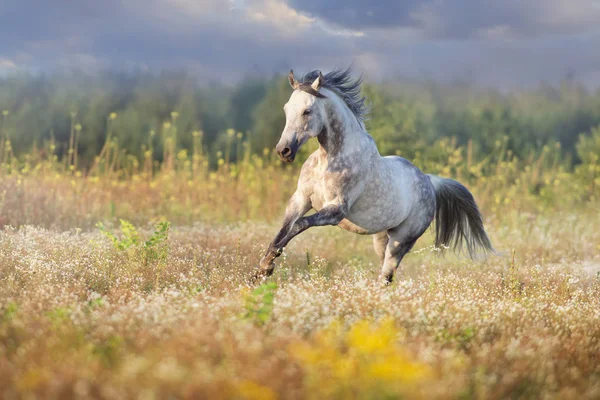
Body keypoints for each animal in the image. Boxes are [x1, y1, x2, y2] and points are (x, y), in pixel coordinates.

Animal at [253, 67, 492, 282]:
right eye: (286, 109)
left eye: (307, 111)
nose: (283, 151)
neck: (329, 160)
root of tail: (429, 181)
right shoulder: (301, 199)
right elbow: (283, 231)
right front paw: (261, 270)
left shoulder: (336, 210)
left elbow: (299, 225)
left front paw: (267, 268)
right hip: (381, 238)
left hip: (400, 241)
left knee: (387, 276)